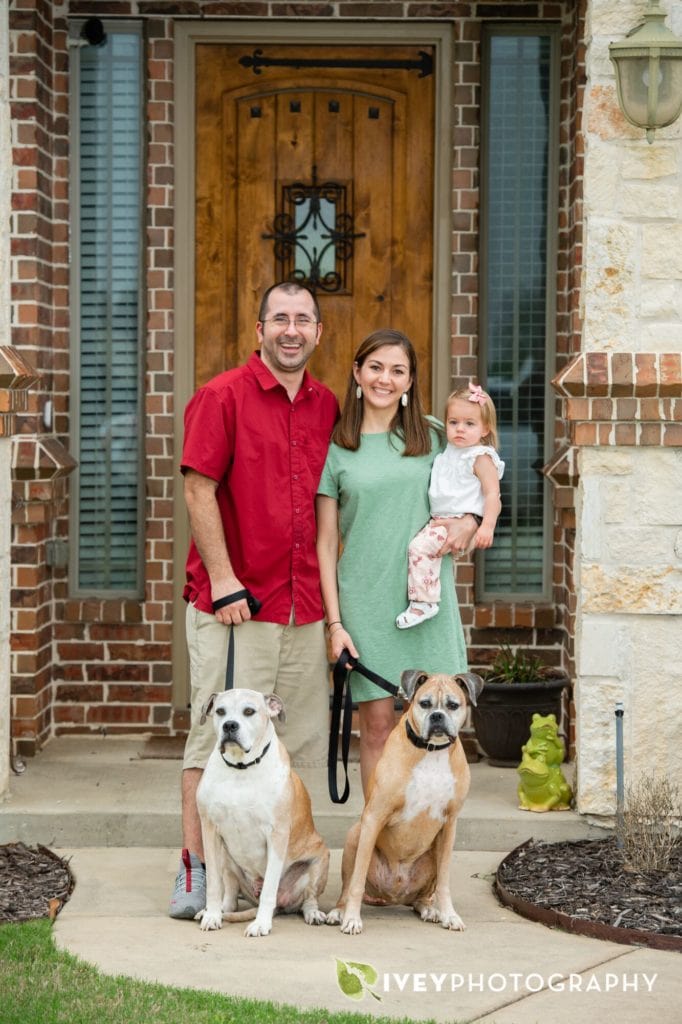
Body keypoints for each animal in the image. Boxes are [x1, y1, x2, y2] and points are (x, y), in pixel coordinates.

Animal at [195, 688, 327, 937]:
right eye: (220, 711)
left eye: (249, 711)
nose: (229, 725)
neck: (241, 768)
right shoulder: (210, 830)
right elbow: (214, 884)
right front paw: (212, 916)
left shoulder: (276, 835)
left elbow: (269, 889)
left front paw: (261, 924)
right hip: (226, 858)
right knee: (230, 892)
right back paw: (219, 910)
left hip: (319, 861)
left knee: (308, 898)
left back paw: (312, 913)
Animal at [327, 667, 481, 937]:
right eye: (425, 703)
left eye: (453, 705)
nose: (437, 716)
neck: (431, 752)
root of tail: (394, 895)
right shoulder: (374, 817)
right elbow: (356, 880)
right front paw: (352, 919)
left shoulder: (449, 825)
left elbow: (444, 881)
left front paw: (449, 915)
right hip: (356, 834)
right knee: (348, 886)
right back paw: (339, 911)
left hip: (431, 854)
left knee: (422, 896)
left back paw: (429, 908)